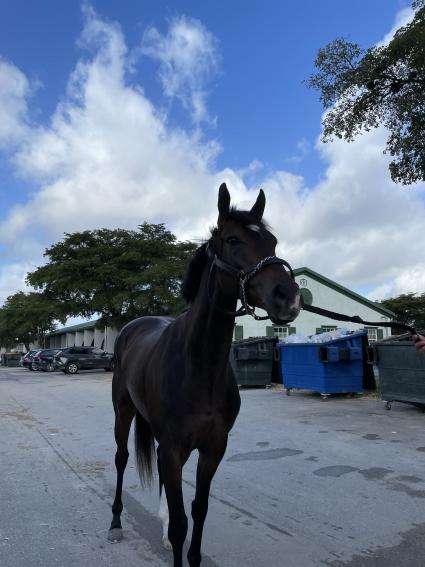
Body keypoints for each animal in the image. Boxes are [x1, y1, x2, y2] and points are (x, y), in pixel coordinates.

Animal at [109, 184, 302, 564]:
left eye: (272, 242)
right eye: (232, 239)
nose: (288, 298)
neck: (199, 368)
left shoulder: (213, 448)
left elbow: (198, 510)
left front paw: (188, 552)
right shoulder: (173, 449)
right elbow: (182, 522)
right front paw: (173, 537)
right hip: (123, 412)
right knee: (121, 459)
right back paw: (115, 523)